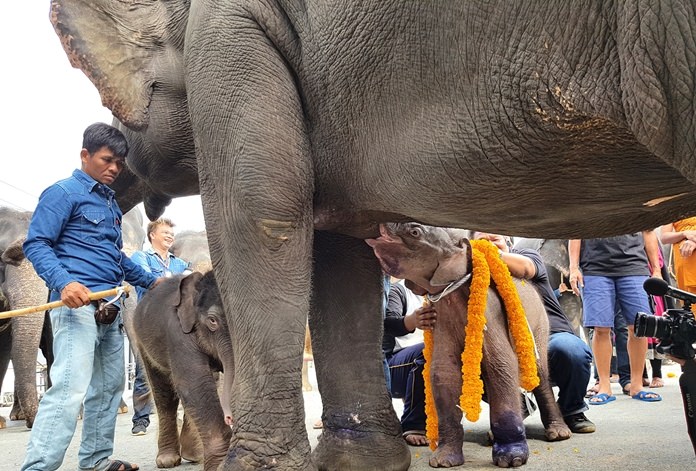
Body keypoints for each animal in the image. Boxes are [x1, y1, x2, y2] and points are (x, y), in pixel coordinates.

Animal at [126, 271, 234, 470]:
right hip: (143, 345)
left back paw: (193, 455)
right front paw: (219, 464)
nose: (229, 418)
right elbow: (193, 384)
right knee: (164, 395)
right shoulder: (178, 335)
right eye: (212, 321)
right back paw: (167, 460)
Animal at [366, 223, 571, 467]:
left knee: (539, 374)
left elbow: (501, 365)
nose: (377, 228)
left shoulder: (490, 313)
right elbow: (442, 372)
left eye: (415, 232)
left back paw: (559, 434)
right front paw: (442, 462)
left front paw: (512, 460)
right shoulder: (441, 316)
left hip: (540, 323)